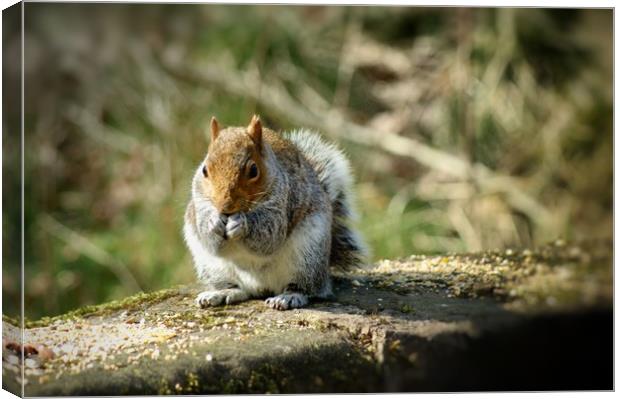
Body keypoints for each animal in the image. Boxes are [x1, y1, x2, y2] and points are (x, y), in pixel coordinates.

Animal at [184, 114, 368, 310]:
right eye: (204, 170)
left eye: (254, 170)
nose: (225, 207)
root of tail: (262, 287)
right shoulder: (199, 203)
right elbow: (209, 240)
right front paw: (212, 223)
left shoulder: (284, 201)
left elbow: (270, 236)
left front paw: (242, 224)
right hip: (211, 266)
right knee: (240, 290)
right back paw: (222, 292)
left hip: (308, 257)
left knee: (306, 288)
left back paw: (288, 297)